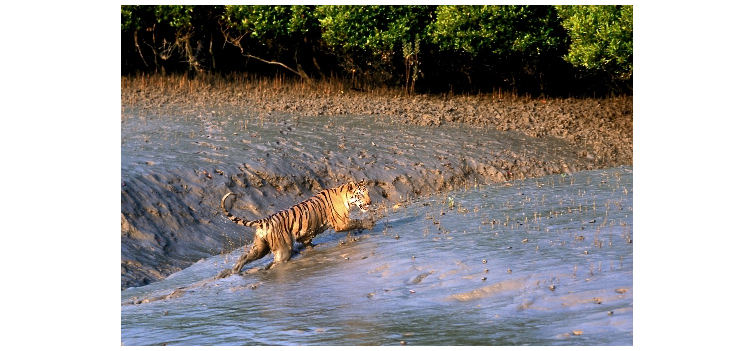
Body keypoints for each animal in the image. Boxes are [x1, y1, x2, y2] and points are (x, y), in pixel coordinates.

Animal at [216, 180, 376, 280]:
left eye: (368, 193)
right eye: (361, 194)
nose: (370, 202)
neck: (345, 196)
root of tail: (265, 220)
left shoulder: (307, 232)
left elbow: (308, 242)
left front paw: (313, 249)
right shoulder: (341, 223)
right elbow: (357, 222)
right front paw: (370, 223)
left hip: (260, 247)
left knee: (244, 257)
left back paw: (232, 272)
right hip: (283, 249)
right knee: (275, 263)